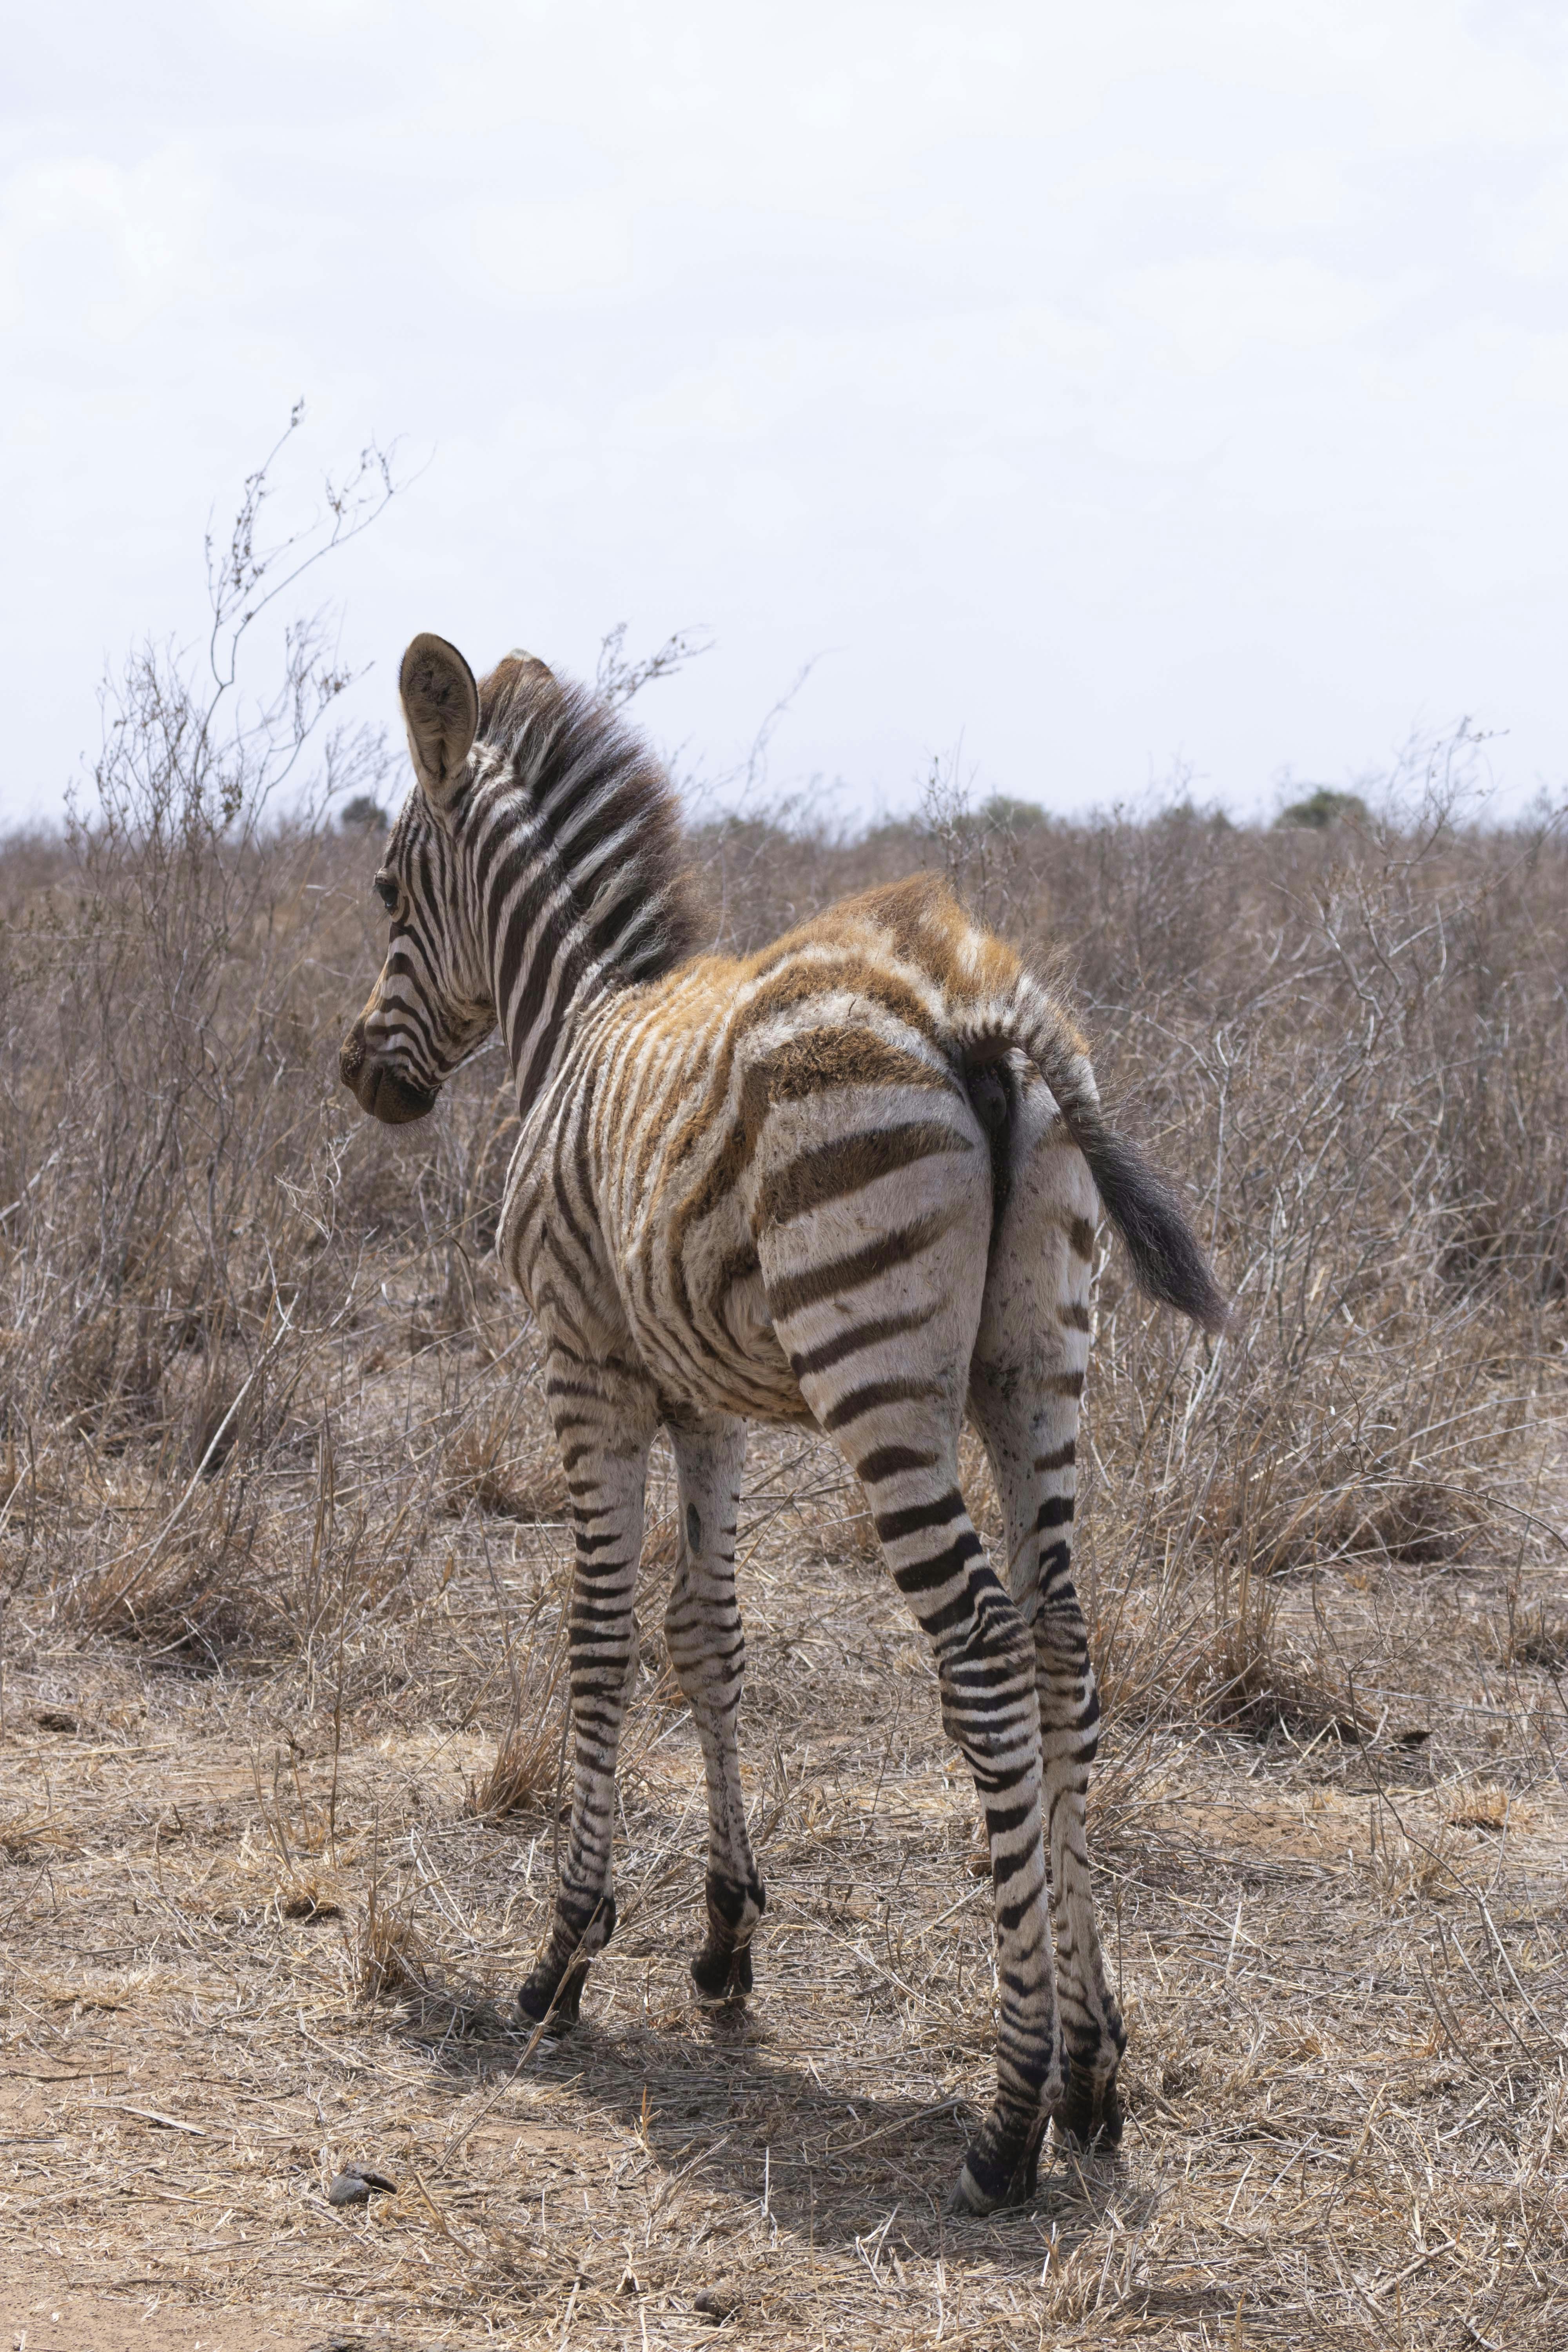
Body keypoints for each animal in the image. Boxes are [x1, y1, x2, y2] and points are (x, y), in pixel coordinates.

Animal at [340, 634, 1227, 2215]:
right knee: (1062, 1646)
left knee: (983, 1652)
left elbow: (598, 1636)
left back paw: (1008, 2116)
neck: (574, 1018)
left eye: (388, 889)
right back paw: (1093, 2070)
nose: (358, 1077)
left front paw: (564, 1955)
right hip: (1035, 1364)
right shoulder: (708, 1400)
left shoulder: (587, 1365)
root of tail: (973, 1002)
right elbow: (710, 1635)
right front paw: (723, 1940)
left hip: (876, 1371)